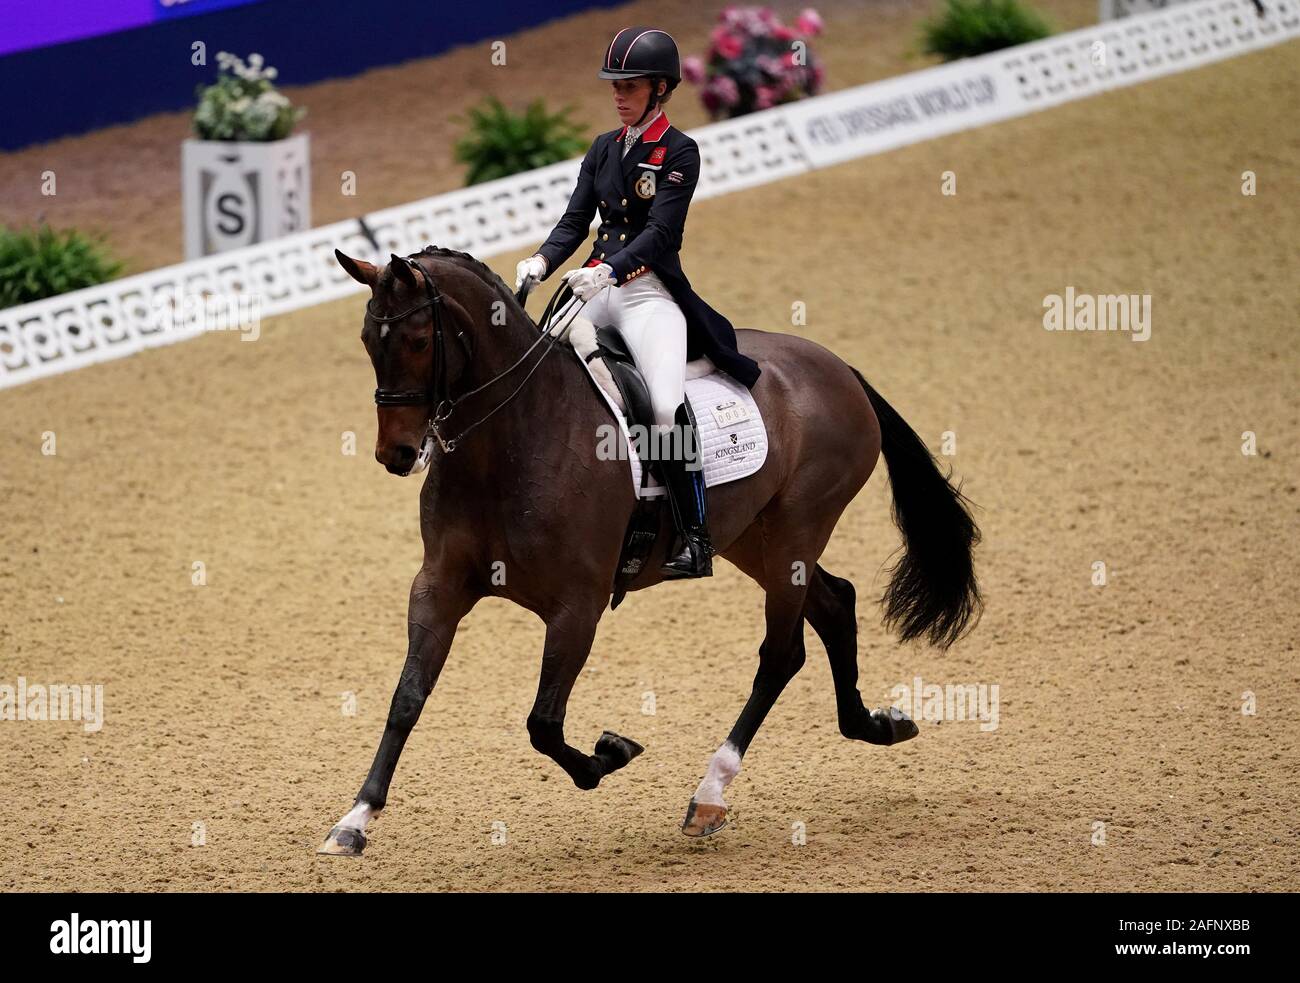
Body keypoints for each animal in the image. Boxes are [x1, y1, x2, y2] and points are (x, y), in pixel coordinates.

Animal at [319, 245, 977, 852]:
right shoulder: (439, 586)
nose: (397, 455)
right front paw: (355, 819)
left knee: (781, 654)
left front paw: (612, 751)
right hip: (753, 537)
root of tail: (836, 366)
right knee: (836, 604)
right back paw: (877, 726)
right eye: (366, 339)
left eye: (419, 340)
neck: (512, 440)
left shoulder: (577, 606)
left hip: (798, 527)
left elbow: (543, 723)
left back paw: (710, 793)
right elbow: (407, 698)